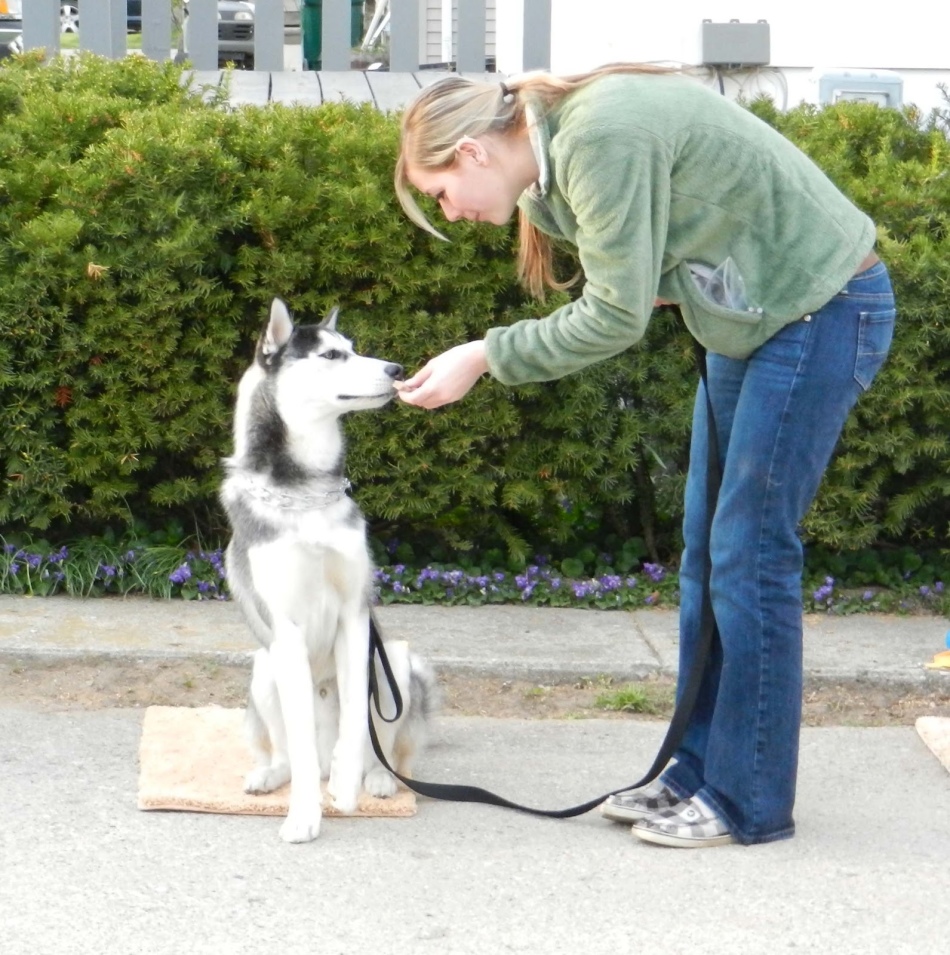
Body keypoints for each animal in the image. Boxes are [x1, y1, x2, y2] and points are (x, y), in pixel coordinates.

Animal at [221, 298, 436, 844]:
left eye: (355, 348)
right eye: (333, 355)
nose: (396, 370)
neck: (304, 495)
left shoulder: (355, 617)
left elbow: (358, 722)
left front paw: (346, 783)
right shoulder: (288, 630)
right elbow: (296, 738)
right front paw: (304, 815)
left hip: (395, 661)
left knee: (387, 747)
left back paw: (375, 779)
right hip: (264, 666)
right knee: (288, 751)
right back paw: (272, 774)